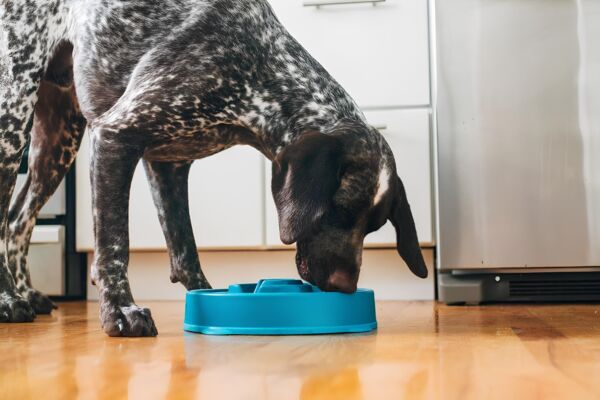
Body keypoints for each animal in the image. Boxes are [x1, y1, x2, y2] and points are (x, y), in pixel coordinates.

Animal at [0, 0, 428, 336]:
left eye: (373, 227)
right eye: (335, 211)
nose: (343, 288)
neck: (261, 70)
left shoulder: (168, 164)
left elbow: (185, 248)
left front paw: (202, 294)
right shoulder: (115, 137)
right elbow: (114, 244)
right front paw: (120, 311)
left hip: (57, 142)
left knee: (18, 219)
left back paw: (28, 293)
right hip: (13, 115)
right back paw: (8, 300)